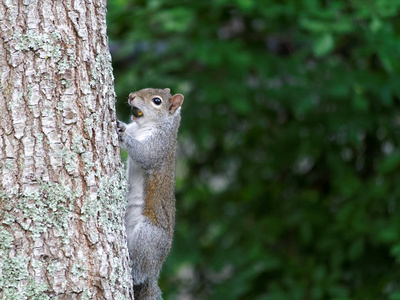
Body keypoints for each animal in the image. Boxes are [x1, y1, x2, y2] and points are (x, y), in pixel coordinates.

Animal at [116, 88, 184, 298]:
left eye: (157, 101)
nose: (131, 96)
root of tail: (155, 270)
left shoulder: (158, 147)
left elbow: (144, 155)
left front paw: (124, 137)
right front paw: (120, 125)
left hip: (148, 239)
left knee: (139, 272)